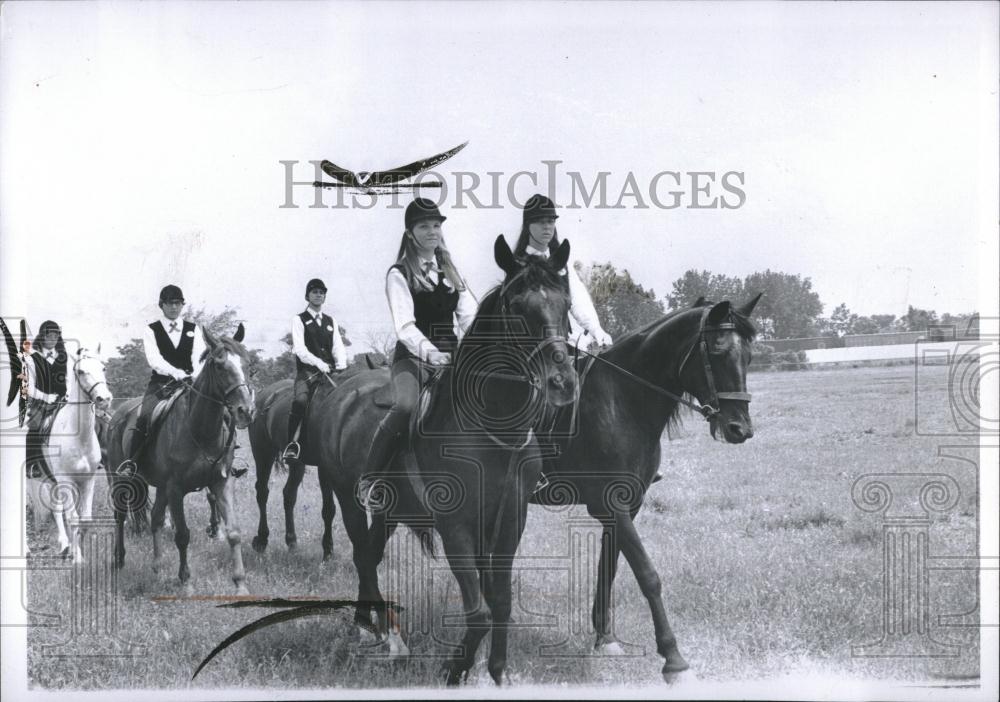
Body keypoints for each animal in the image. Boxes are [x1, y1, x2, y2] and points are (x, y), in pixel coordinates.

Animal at [26, 346, 112, 560]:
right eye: (80, 371)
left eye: (103, 367)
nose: (105, 399)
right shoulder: (66, 480)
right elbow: (72, 517)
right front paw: (78, 558)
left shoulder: (86, 480)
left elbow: (84, 519)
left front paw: (75, 550)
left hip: (52, 479)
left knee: (56, 510)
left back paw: (64, 545)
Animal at [107, 324, 256, 592]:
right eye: (219, 366)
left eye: (248, 364)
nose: (245, 412)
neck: (200, 431)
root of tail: (118, 414)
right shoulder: (176, 488)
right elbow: (183, 535)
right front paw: (186, 582)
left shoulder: (221, 482)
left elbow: (234, 532)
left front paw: (240, 584)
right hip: (122, 479)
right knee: (120, 516)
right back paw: (119, 560)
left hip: (160, 486)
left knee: (155, 519)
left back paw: (156, 567)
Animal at [532, 296, 756, 680]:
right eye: (717, 350)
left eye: (749, 356)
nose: (740, 429)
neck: (621, 401)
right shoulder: (611, 504)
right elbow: (648, 574)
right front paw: (673, 659)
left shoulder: (626, 506)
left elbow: (609, 567)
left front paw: (605, 639)